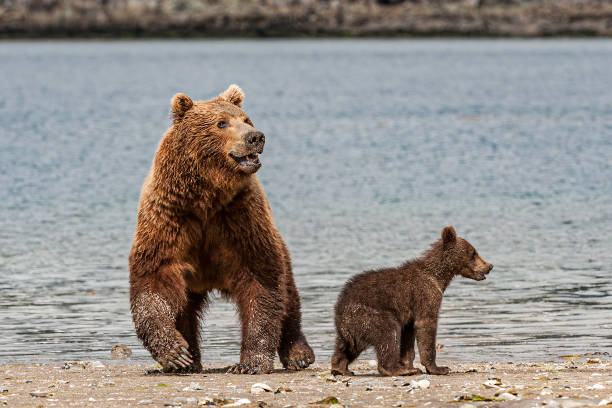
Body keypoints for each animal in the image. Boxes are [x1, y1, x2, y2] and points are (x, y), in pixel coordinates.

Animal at [126, 84, 314, 374]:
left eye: (246, 119)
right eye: (221, 123)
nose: (255, 137)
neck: (207, 196)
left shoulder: (239, 216)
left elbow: (262, 281)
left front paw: (250, 363)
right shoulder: (170, 216)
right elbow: (155, 278)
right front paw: (175, 353)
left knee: (289, 296)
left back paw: (299, 354)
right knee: (184, 309)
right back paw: (189, 361)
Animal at [330, 226, 492, 376]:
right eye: (473, 252)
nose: (489, 266)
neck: (438, 277)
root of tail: (339, 308)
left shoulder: (410, 314)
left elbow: (408, 338)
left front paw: (410, 365)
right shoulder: (425, 296)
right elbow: (426, 327)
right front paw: (438, 368)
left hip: (353, 328)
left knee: (346, 346)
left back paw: (341, 368)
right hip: (370, 315)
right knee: (389, 334)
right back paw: (396, 370)